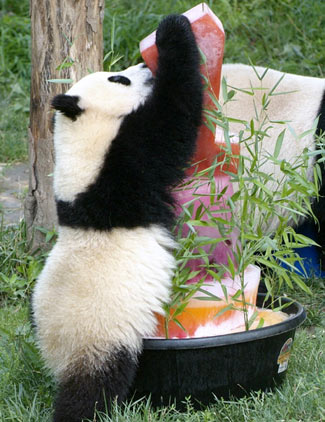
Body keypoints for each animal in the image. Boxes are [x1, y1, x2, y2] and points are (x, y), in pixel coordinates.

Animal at [31, 14, 202, 422]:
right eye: (118, 79)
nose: (142, 69)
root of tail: (55, 358)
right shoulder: (123, 163)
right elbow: (175, 117)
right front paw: (173, 30)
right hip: (101, 338)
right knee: (93, 387)